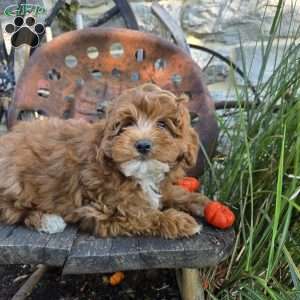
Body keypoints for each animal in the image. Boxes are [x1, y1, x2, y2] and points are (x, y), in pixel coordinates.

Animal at [0, 83, 211, 238]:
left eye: (162, 124)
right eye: (127, 124)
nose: (143, 145)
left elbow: (172, 193)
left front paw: (201, 202)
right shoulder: (102, 210)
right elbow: (143, 214)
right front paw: (179, 222)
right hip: (15, 184)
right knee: (12, 211)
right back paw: (48, 220)